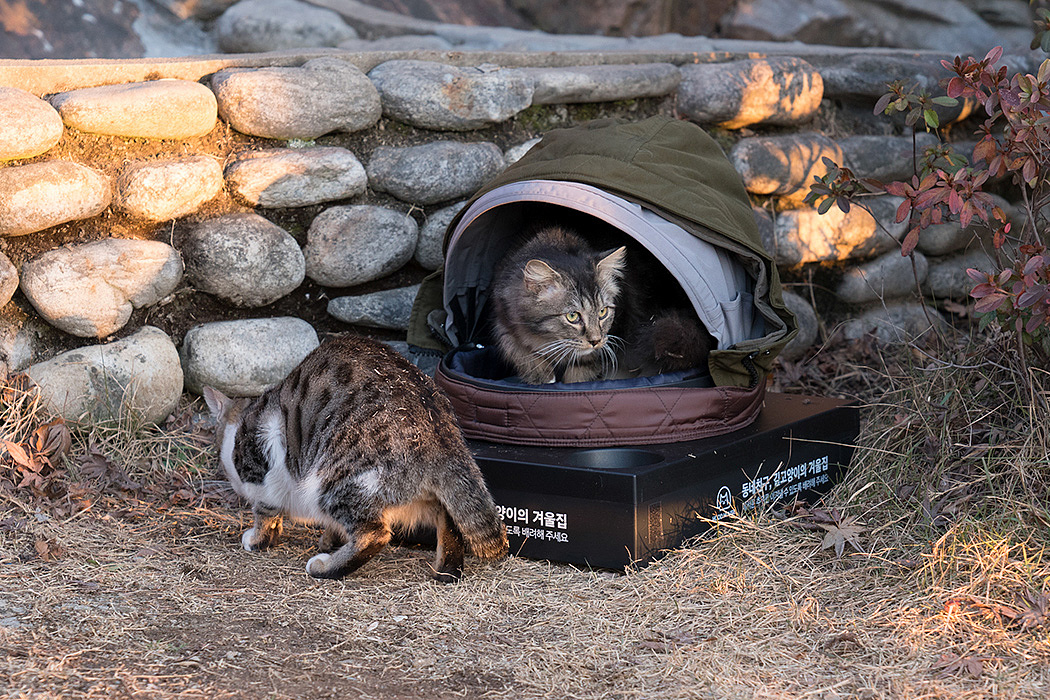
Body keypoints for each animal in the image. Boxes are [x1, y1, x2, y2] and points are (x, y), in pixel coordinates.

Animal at [203, 335, 508, 583]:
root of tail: (442, 434)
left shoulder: (264, 476)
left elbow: (265, 513)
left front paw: (257, 539)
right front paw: (330, 539)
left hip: (335, 480)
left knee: (374, 534)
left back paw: (324, 568)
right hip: (415, 492)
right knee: (449, 517)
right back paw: (446, 569)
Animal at [491, 224, 713, 386]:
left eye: (603, 312)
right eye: (572, 316)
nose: (595, 341)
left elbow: (579, 374)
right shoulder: (504, 323)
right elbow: (520, 352)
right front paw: (542, 378)